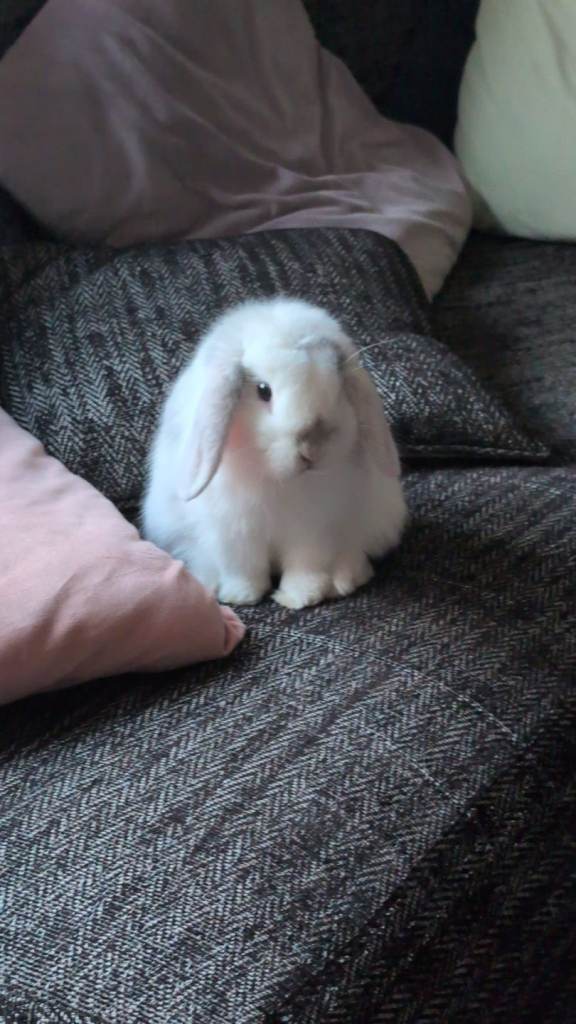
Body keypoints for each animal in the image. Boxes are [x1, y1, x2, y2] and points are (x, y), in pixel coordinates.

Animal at [141, 297, 407, 609]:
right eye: (263, 390)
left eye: (338, 386)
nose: (312, 447)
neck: (283, 482)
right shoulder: (234, 533)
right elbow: (242, 569)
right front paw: (241, 596)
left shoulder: (315, 531)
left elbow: (307, 567)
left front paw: (299, 598)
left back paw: (343, 581)